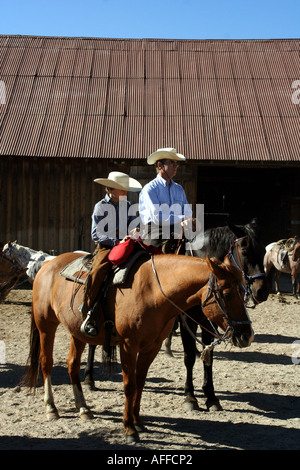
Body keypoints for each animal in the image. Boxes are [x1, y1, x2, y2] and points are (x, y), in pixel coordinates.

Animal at [22, 252, 253, 442]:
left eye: (243, 291)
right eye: (227, 293)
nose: (247, 336)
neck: (153, 291)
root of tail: (48, 264)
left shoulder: (151, 346)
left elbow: (140, 382)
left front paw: (138, 421)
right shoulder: (128, 345)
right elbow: (129, 385)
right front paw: (129, 429)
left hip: (77, 332)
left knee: (72, 364)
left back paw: (84, 409)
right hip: (46, 325)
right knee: (46, 363)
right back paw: (51, 408)